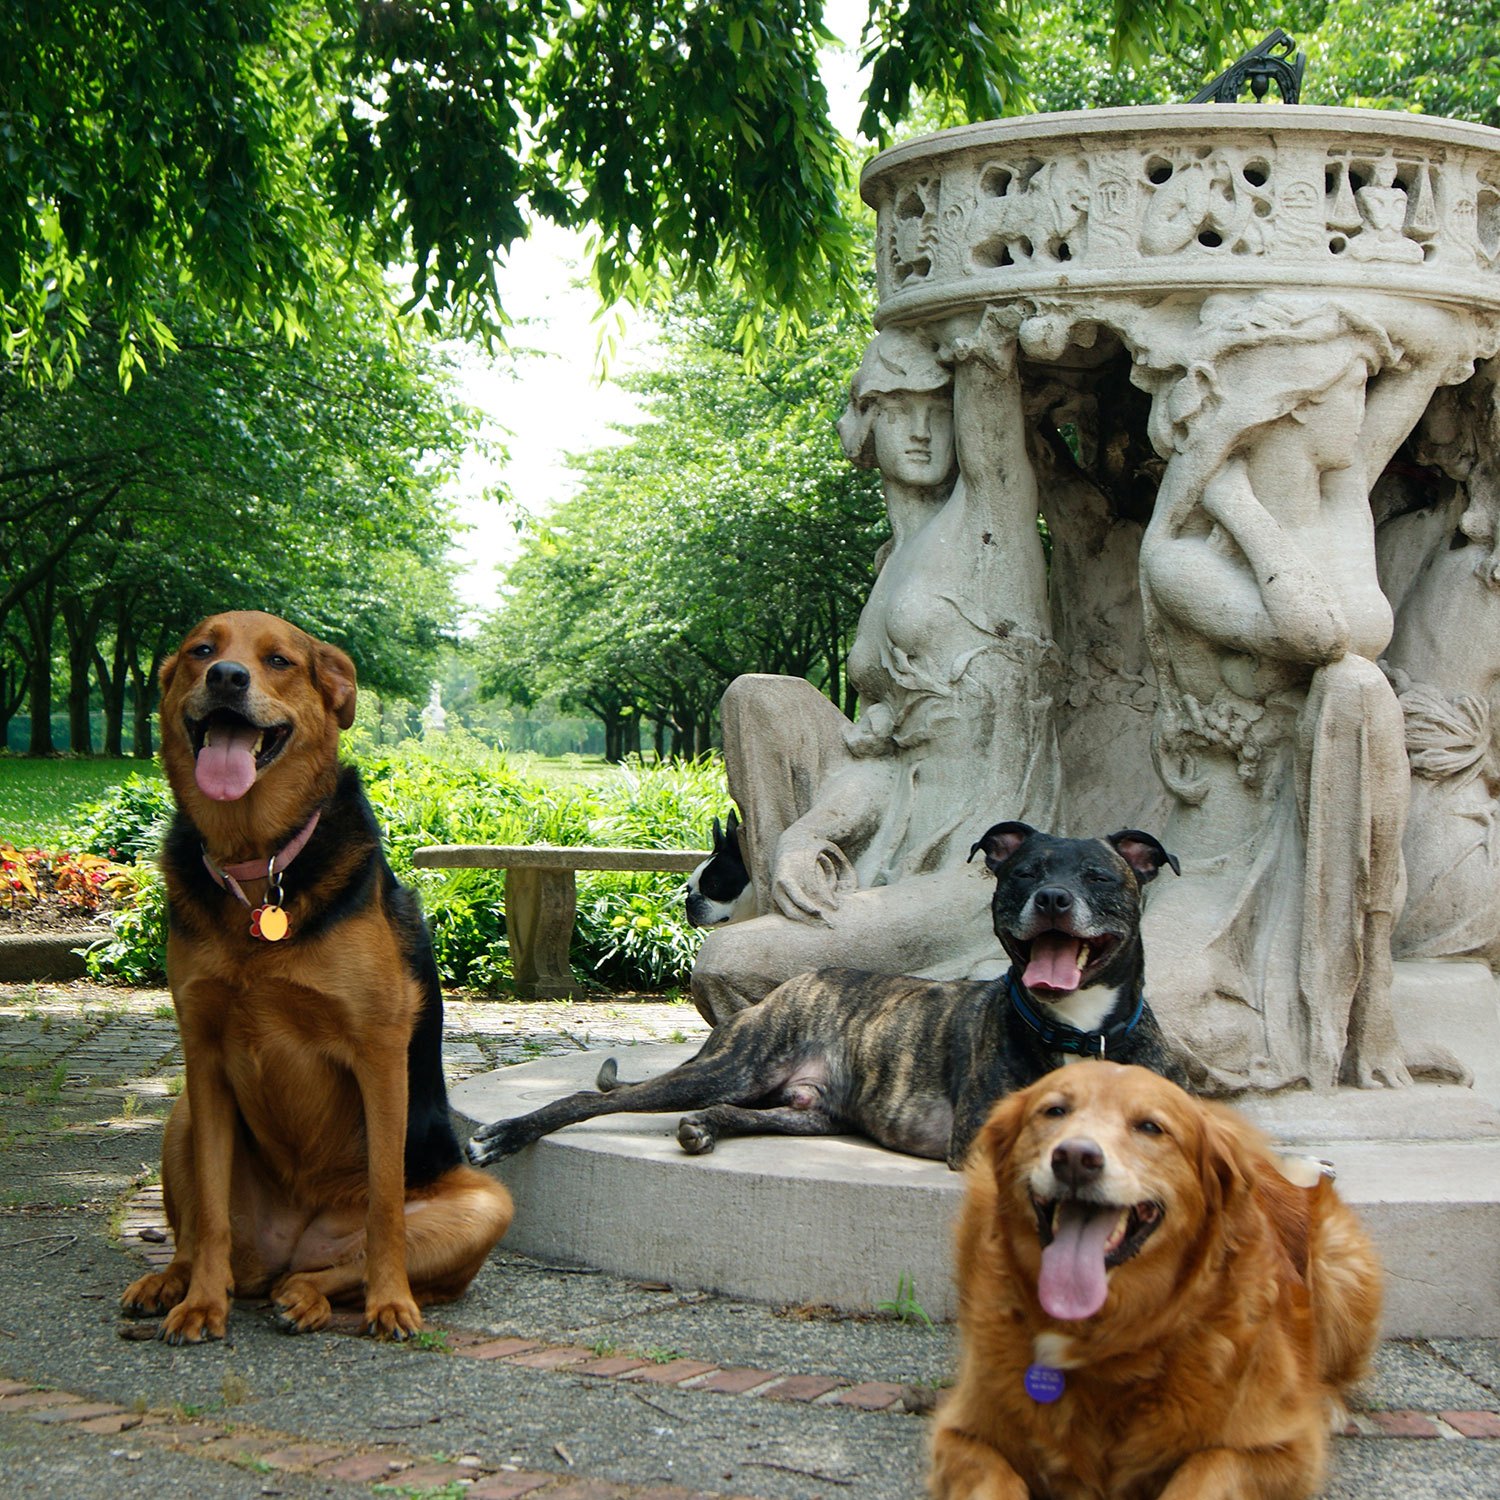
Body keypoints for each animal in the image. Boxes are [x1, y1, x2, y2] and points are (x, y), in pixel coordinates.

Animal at [118, 609, 516, 1350]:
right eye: (201, 651)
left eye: (278, 660)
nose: (227, 678)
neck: (258, 865)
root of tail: (289, 1249)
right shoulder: (203, 1056)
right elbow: (208, 1213)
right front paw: (200, 1305)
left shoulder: (378, 1054)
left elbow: (385, 1210)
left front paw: (392, 1304)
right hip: (183, 1112)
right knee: (207, 1242)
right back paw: (178, 1283)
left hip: (486, 1204)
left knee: (343, 1267)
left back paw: (311, 1297)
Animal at [465, 822, 1182, 1170]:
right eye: (1024, 872)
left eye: (1098, 876)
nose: (1053, 898)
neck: (1078, 1028)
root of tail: (792, 986)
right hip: (733, 1066)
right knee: (591, 1100)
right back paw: (504, 1135)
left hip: (812, 1111)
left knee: (741, 1112)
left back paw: (707, 1127)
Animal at [924, 1056, 1380, 1500]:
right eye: (1054, 1111)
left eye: (1149, 1127)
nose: (1074, 1159)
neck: (1106, 1343)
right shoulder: (962, 1433)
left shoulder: (1284, 1448)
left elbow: (1205, 1468)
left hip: (1341, 1264)